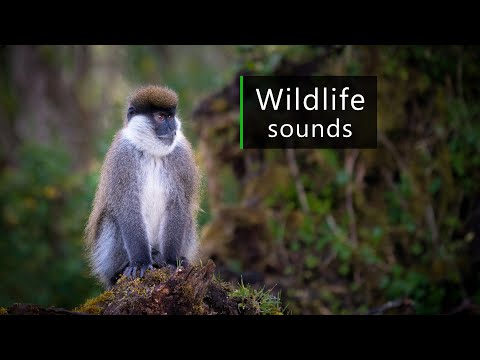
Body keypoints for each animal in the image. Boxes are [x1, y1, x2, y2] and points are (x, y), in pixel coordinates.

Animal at [85, 86, 200, 288]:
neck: (151, 152)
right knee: (112, 219)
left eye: (171, 116)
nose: (172, 129)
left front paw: (172, 261)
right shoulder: (123, 155)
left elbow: (178, 205)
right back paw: (121, 270)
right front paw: (140, 263)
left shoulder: (181, 156)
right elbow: (127, 206)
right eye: (160, 117)